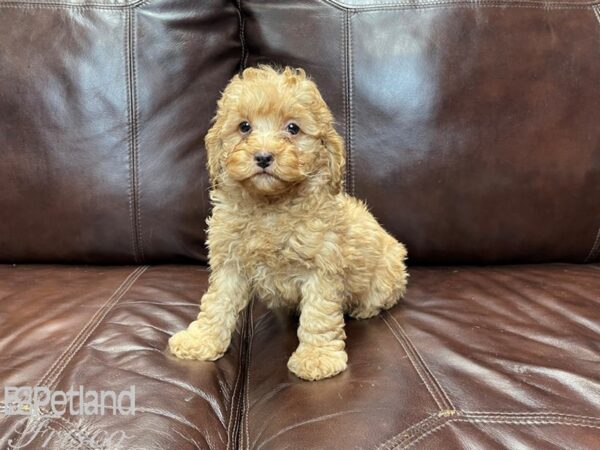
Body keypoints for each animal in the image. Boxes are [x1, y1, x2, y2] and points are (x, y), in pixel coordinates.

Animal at [169, 65, 408, 380]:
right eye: (244, 127)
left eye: (293, 128)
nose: (263, 157)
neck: (270, 206)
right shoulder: (230, 264)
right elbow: (216, 303)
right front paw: (200, 340)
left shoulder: (322, 267)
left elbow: (319, 314)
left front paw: (317, 357)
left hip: (388, 269)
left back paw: (363, 309)